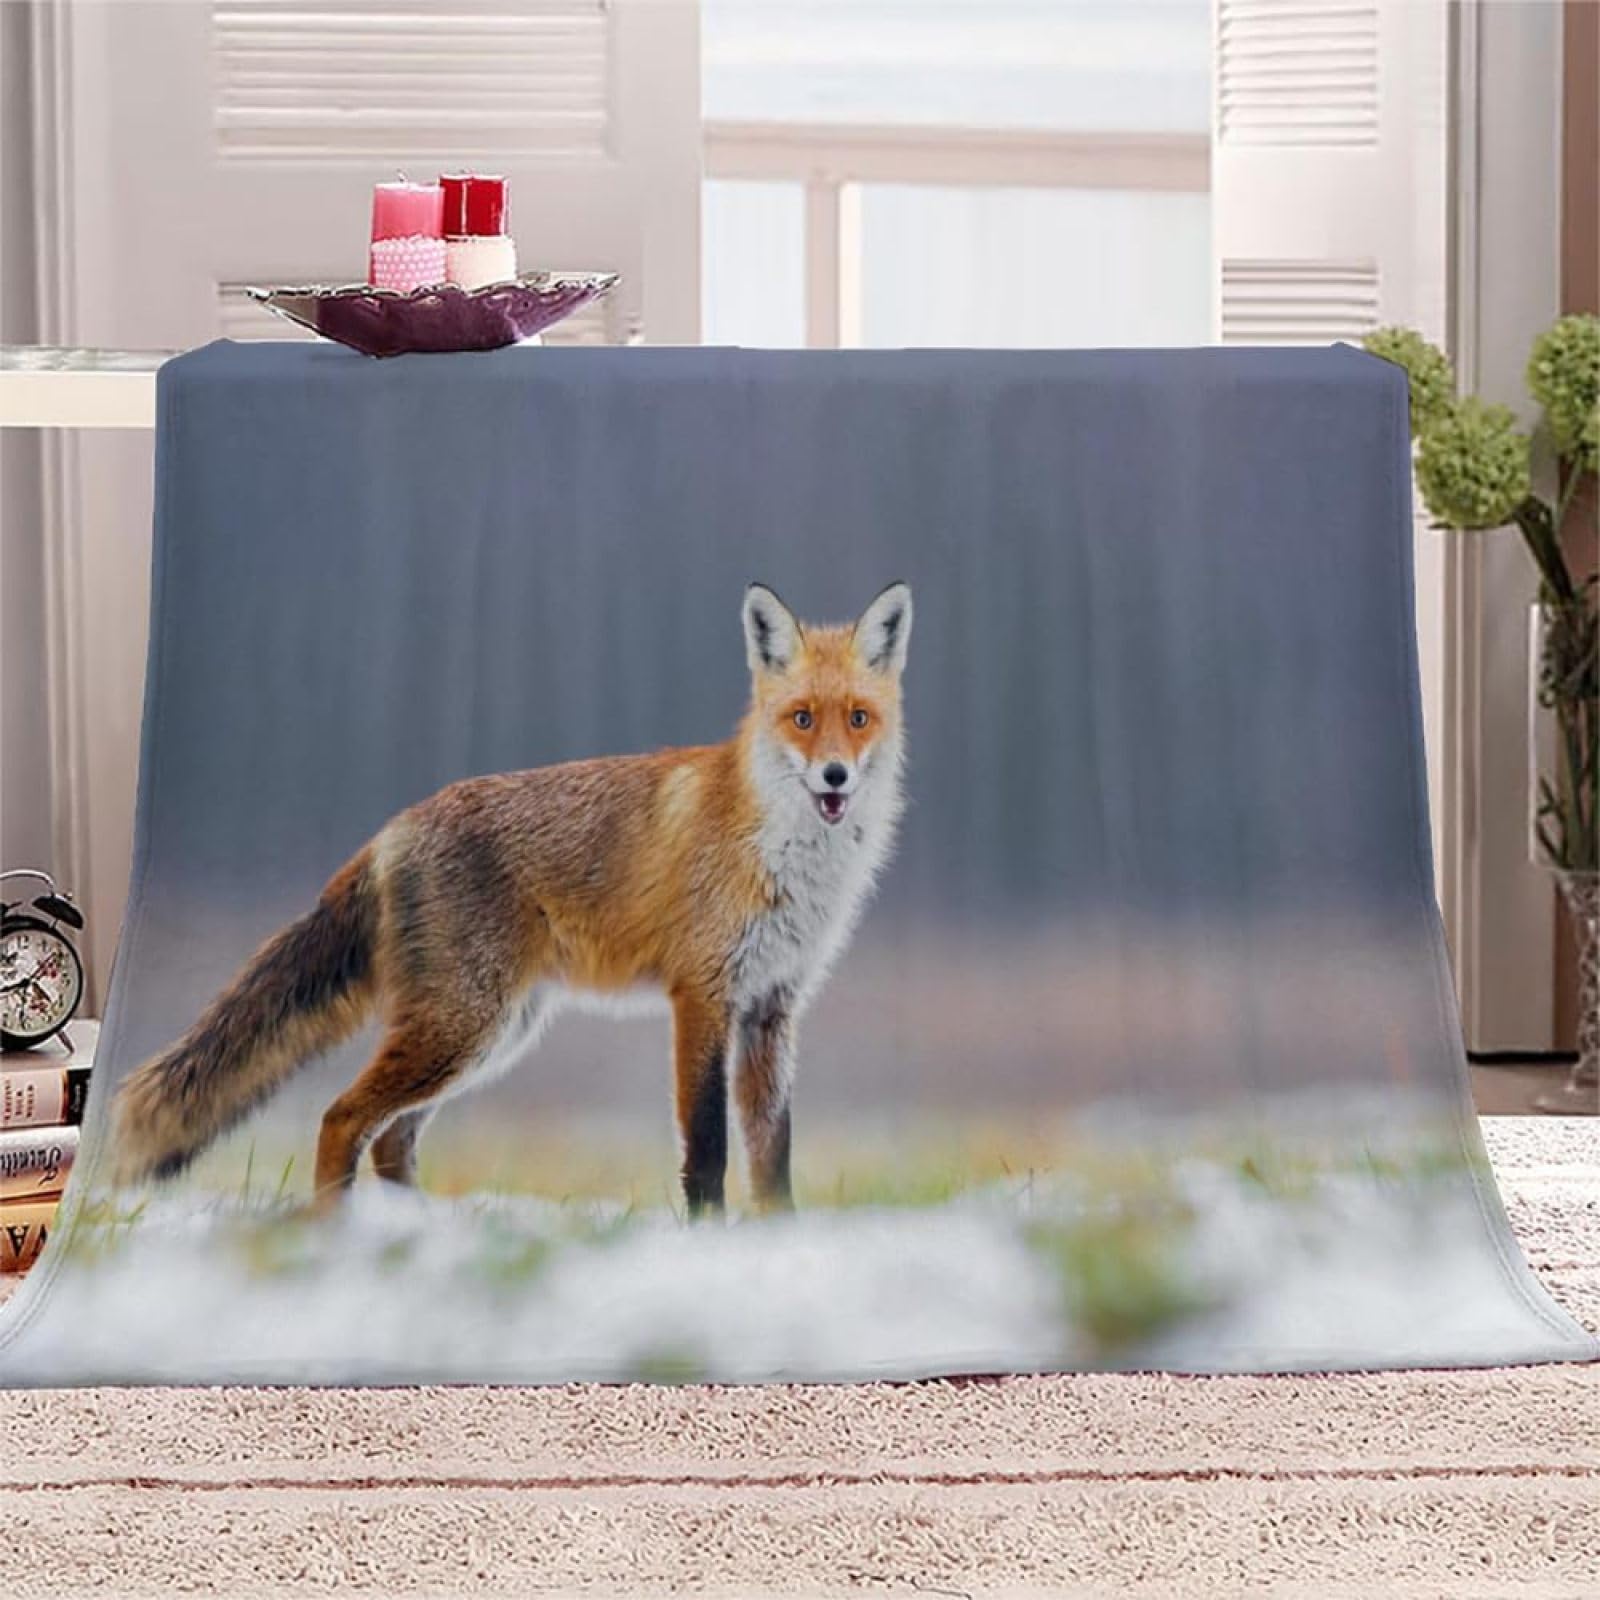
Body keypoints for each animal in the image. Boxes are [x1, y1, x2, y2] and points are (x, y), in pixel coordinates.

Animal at [112, 582, 913, 1217]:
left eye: (859, 718)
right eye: (802, 718)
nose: (836, 776)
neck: (787, 862)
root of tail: (392, 828)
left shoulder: (773, 1006)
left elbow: (772, 1155)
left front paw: (779, 1242)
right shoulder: (703, 994)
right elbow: (710, 1149)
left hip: (490, 1033)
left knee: (391, 1140)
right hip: (465, 1025)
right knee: (343, 1118)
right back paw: (332, 1235)